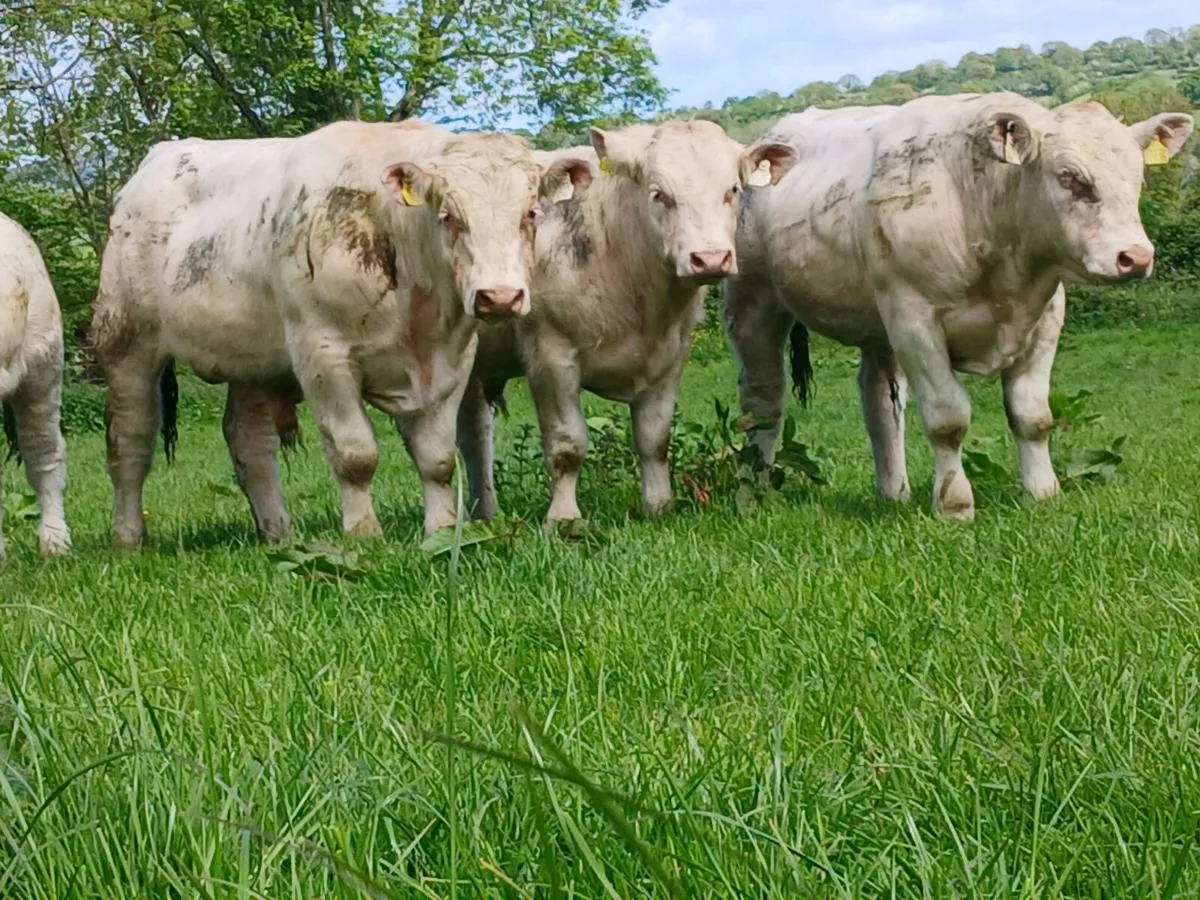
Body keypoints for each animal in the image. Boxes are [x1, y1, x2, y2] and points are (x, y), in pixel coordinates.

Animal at [89, 120, 593, 548]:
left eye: (531, 213)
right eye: (448, 215)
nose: (499, 297)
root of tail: (161, 155)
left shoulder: (451, 359)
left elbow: (438, 457)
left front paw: (442, 530)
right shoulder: (322, 354)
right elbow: (355, 454)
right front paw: (363, 533)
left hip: (250, 361)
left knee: (249, 441)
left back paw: (278, 535)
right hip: (126, 340)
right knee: (130, 441)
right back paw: (129, 538)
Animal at [456, 120, 797, 524]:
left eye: (732, 189)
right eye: (659, 194)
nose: (711, 259)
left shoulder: (671, 356)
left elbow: (655, 438)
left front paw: (659, 505)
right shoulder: (551, 356)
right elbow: (567, 443)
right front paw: (564, 518)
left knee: (475, 435)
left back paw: (485, 513)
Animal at [726, 93, 1194, 520]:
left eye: (1137, 177)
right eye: (1069, 177)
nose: (1135, 257)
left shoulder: (1045, 320)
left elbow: (1033, 416)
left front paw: (1043, 493)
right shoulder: (914, 322)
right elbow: (948, 419)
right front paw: (954, 505)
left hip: (877, 325)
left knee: (880, 403)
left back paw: (893, 493)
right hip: (754, 299)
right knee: (763, 399)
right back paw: (757, 488)